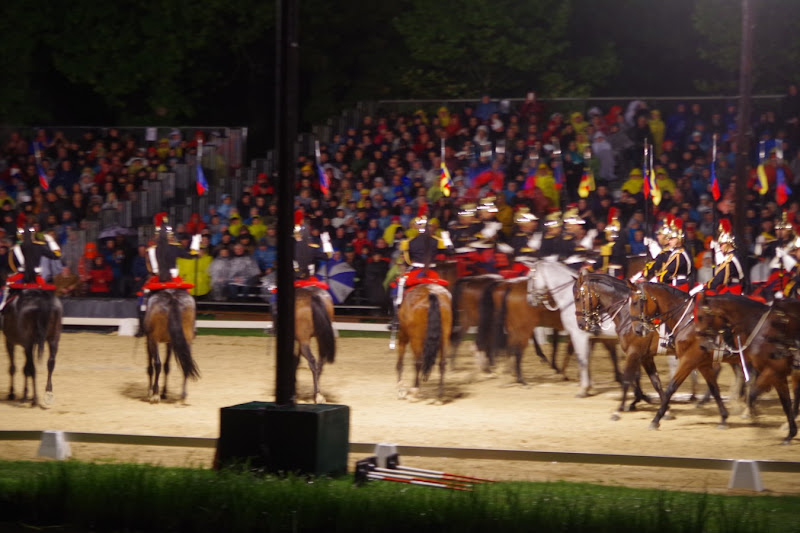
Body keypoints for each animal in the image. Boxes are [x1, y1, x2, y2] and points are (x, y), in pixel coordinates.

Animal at [576, 270, 664, 416]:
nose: (581, 324)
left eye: (577, 298)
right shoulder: (641, 355)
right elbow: (645, 378)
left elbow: (629, 376)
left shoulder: (634, 352)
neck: (628, 314)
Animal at [632, 282, 732, 428]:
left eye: (635, 302)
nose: (637, 330)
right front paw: (724, 417)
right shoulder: (702, 363)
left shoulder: (689, 361)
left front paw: (657, 418)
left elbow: (671, 387)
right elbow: (714, 388)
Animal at [692, 294, 800, 442]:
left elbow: (753, 393)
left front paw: (755, 418)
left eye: (701, 316)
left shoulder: (773, 371)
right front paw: (790, 434)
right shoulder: (777, 375)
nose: (702, 345)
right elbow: (785, 403)